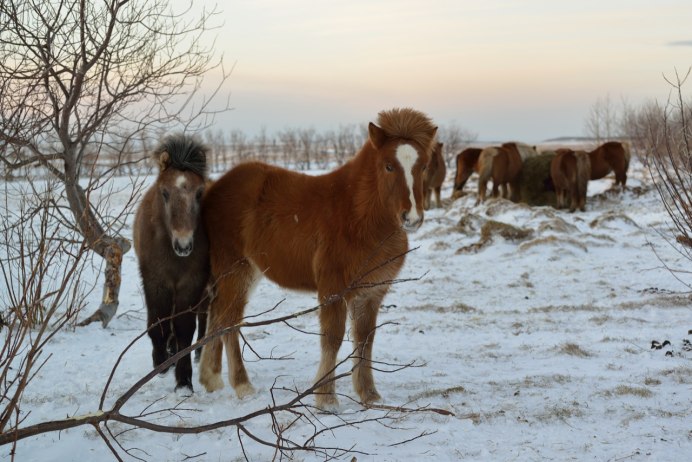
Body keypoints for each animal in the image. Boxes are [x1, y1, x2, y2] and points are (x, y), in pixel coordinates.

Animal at [132, 134, 208, 390]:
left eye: (199, 193)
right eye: (164, 193)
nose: (183, 245)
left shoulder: (192, 282)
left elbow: (184, 328)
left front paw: (184, 381)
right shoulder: (156, 280)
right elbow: (158, 323)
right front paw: (161, 362)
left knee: (203, 316)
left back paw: (198, 352)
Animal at [200, 107, 438, 408]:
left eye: (424, 166)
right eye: (388, 166)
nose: (412, 218)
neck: (358, 215)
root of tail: (213, 188)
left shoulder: (370, 292)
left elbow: (365, 340)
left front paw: (369, 394)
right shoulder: (333, 287)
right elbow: (332, 338)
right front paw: (325, 398)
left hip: (246, 272)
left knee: (217, 314)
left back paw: (211, 378)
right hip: (236, 270)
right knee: (229, 321)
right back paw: (242, 385)